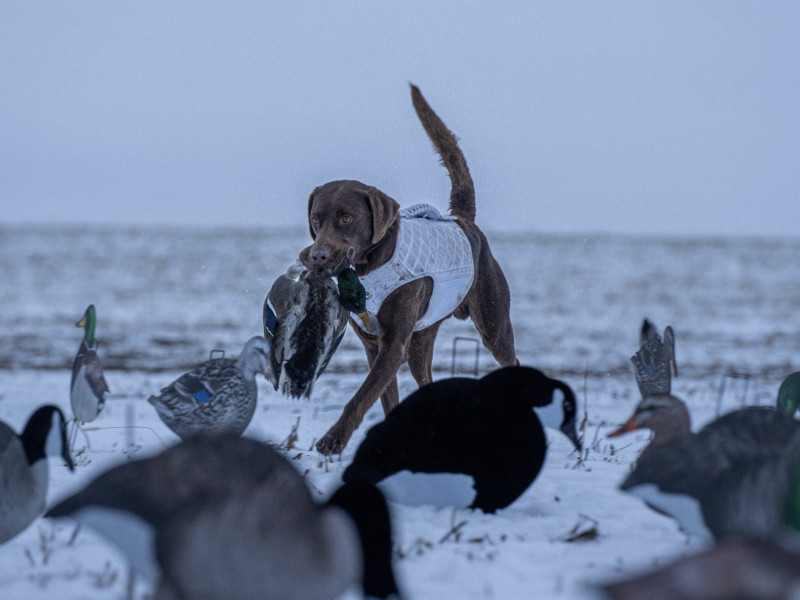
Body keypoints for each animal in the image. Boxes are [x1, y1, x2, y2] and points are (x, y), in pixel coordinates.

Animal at [302, 85, 520, 454]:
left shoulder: (393, 346)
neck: (367, 268)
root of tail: (463, 220)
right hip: (422, 338)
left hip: (495, 326)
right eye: (316, 220)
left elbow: (362, 396)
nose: (317, 255)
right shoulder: (374, 345)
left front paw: (333, 439)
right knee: (425, 377)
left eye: (346, 218)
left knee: (510, 359)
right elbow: (384, 397)